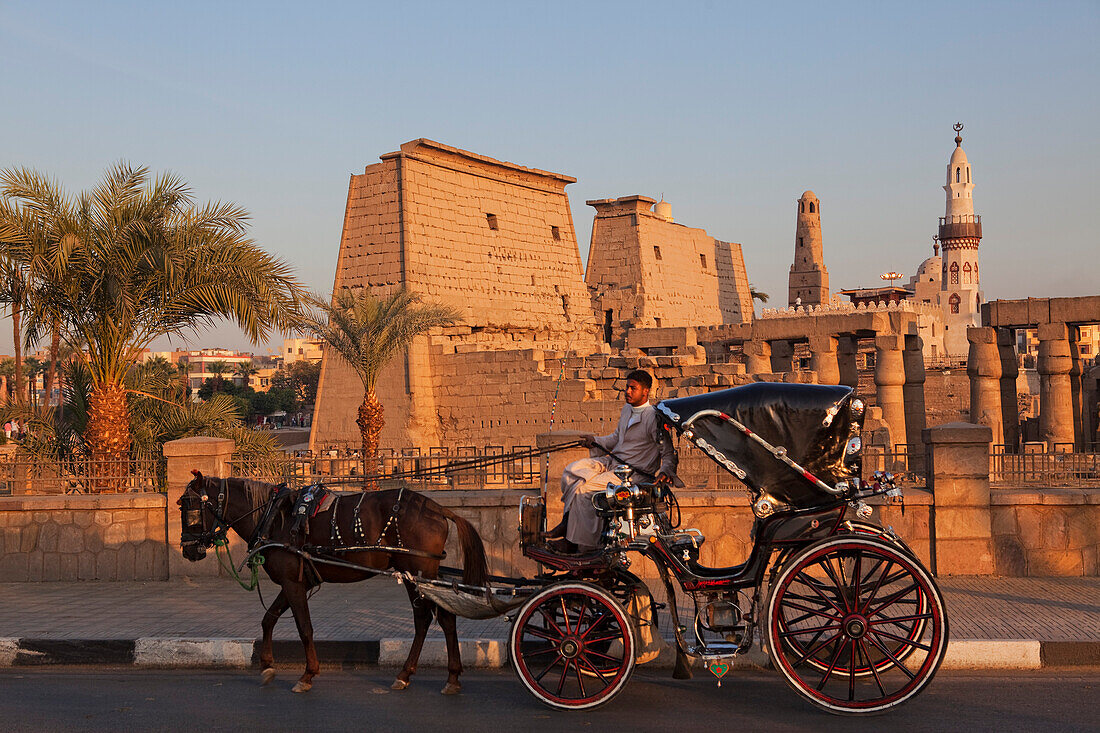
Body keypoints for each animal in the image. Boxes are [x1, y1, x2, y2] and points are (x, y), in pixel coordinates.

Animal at [178, 471, 488, 695]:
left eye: (189, 507)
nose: (188, 551)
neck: (273, 519)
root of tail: (437, 508)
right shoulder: (295, 582)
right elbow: (269, 619)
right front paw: (267, 666)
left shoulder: (292, 583)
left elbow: (304, 628)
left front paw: (307, 674)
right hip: (418, 572)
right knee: (437, 618)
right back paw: (432, 675)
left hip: (418, 569)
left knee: (431, 617)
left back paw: (424, 675)